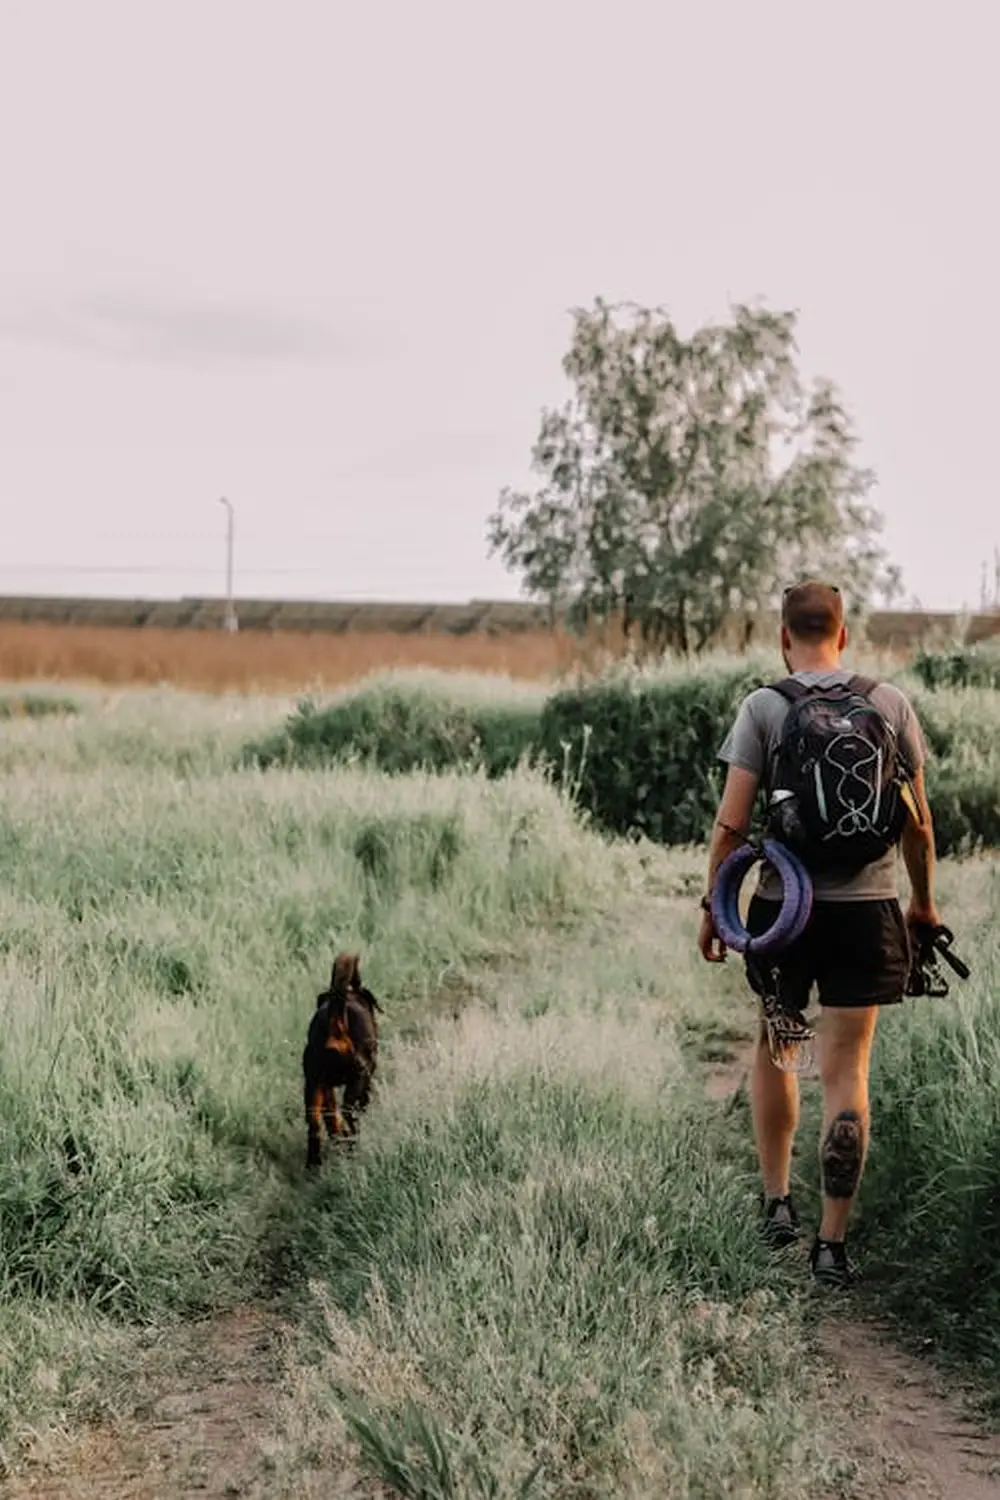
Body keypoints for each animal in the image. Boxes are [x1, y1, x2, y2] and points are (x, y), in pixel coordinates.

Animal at [302, 948, 380, 1170]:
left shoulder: (324, 1086)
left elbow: (330, 1118)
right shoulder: (365, 1076)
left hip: (312, 1087)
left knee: (314, 1126)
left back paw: (315, 1162)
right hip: (357, 1078)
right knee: (349, 1114)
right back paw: (353, 1144)